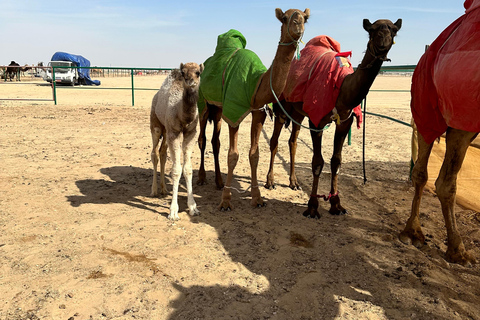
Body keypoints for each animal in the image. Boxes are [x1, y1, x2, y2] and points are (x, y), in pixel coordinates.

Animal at [149, 62, 203, 220]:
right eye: (183, 72)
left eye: (198, 72)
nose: (190, 81)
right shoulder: (174, 132)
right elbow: (176, 170)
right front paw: (173, 211)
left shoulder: (191, 133)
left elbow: (188, 169)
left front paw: (193, 208)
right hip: (156, 123)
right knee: (154, 153)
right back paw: (154, 190)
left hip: (166, 132)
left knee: (162, 153)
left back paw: (164, 189)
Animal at [196, 7, 312, 210]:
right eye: (284, 18)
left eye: (305, 18)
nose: (298, 25)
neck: (256, 84)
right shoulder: (233, 110)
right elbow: (233, 155)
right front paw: (226, 201)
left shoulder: (258, 112)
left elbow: (254, 154)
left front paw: (257, 198)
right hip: (204, 103)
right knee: (202, 139)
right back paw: (202, 178)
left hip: (218, 109)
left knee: (215, 141)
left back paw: (219, 182)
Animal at [264, 18, 404, 218]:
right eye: (372, 30)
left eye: (393, 30)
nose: (383, 41)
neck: (342, 86)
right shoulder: (316, 120)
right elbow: (317, 162)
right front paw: (312, 207)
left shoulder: (345, 121)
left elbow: (336, 161)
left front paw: (336, 204)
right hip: (281, 106)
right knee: (275, 140)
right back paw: (270, 181)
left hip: (298, 112)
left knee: (293, 141)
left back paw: (294, 182)